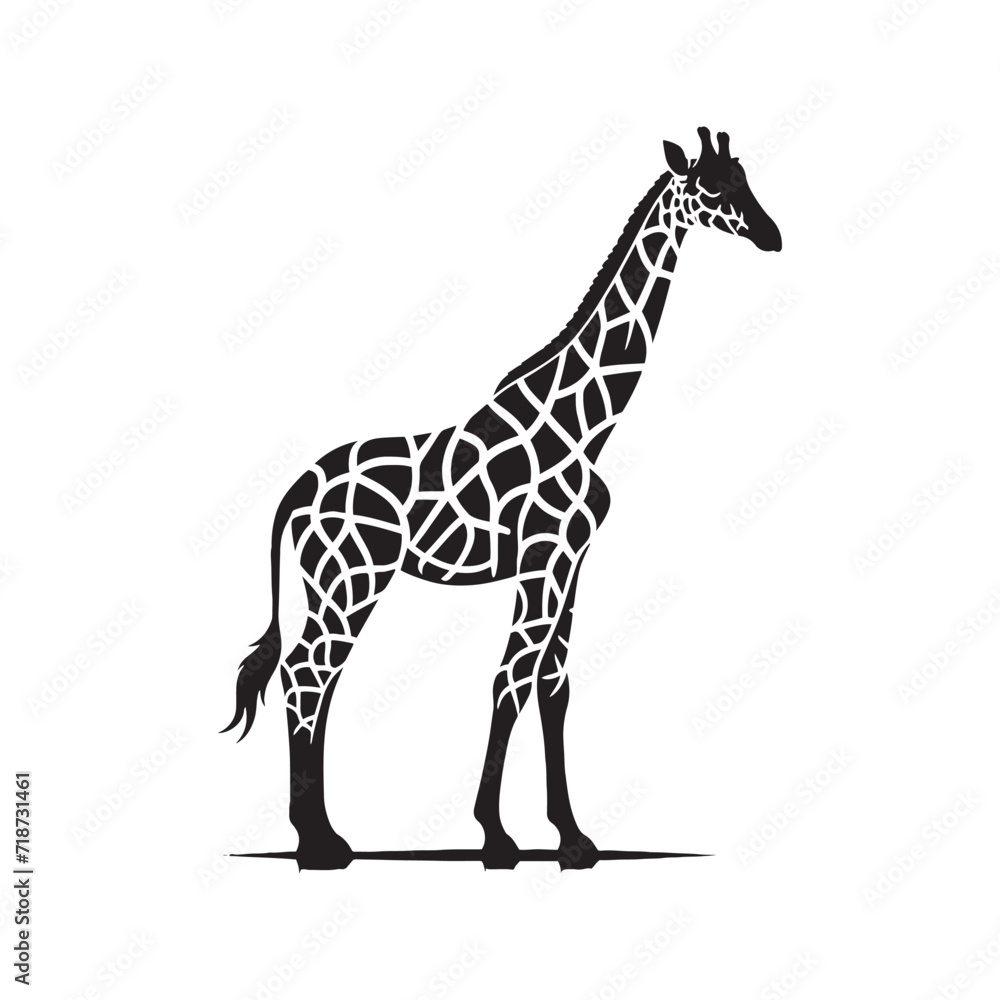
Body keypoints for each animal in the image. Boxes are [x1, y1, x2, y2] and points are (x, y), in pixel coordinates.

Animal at [224, 128, 781, 870]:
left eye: (746, 179)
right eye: (713, 187)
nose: (773, 235)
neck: (581, 422)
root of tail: (297, 488)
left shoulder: (569, 564)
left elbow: (554, 687)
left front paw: (573, 838)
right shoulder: (544, 560)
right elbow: (511, 681)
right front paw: (496, 836)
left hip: (335, 584)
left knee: (314, 677)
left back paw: (321, 834)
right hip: (351, 580)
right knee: (309, 675)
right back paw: (319, 844)